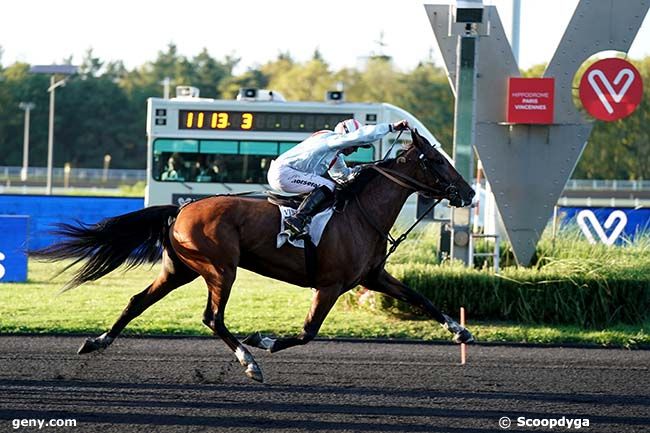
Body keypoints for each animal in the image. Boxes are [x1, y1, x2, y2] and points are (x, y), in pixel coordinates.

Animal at [34, 128, 470, 382]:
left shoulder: (371, 277)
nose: (468, 193)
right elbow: (307, 332)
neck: (360, 212)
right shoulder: (329, 285)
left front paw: (461, 330)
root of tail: (181, 209)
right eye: (438, 161)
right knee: (212, 317)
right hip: (220, 268)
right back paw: (249, 361)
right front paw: (264, 340)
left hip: (180, 270)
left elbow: (421, 298)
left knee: (137, 301)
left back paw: (97, 342)